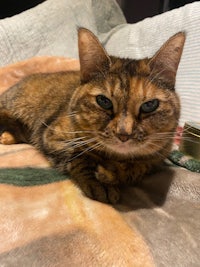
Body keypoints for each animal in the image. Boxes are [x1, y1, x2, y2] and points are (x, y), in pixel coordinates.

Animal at [0, 28, 185, 203]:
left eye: (149, 105)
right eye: (103, 101)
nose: (123, 134)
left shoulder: (157, 158)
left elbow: (138, 167)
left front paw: (112, 172)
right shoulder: (52, 136)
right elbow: (81, 156)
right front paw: (100, 183)